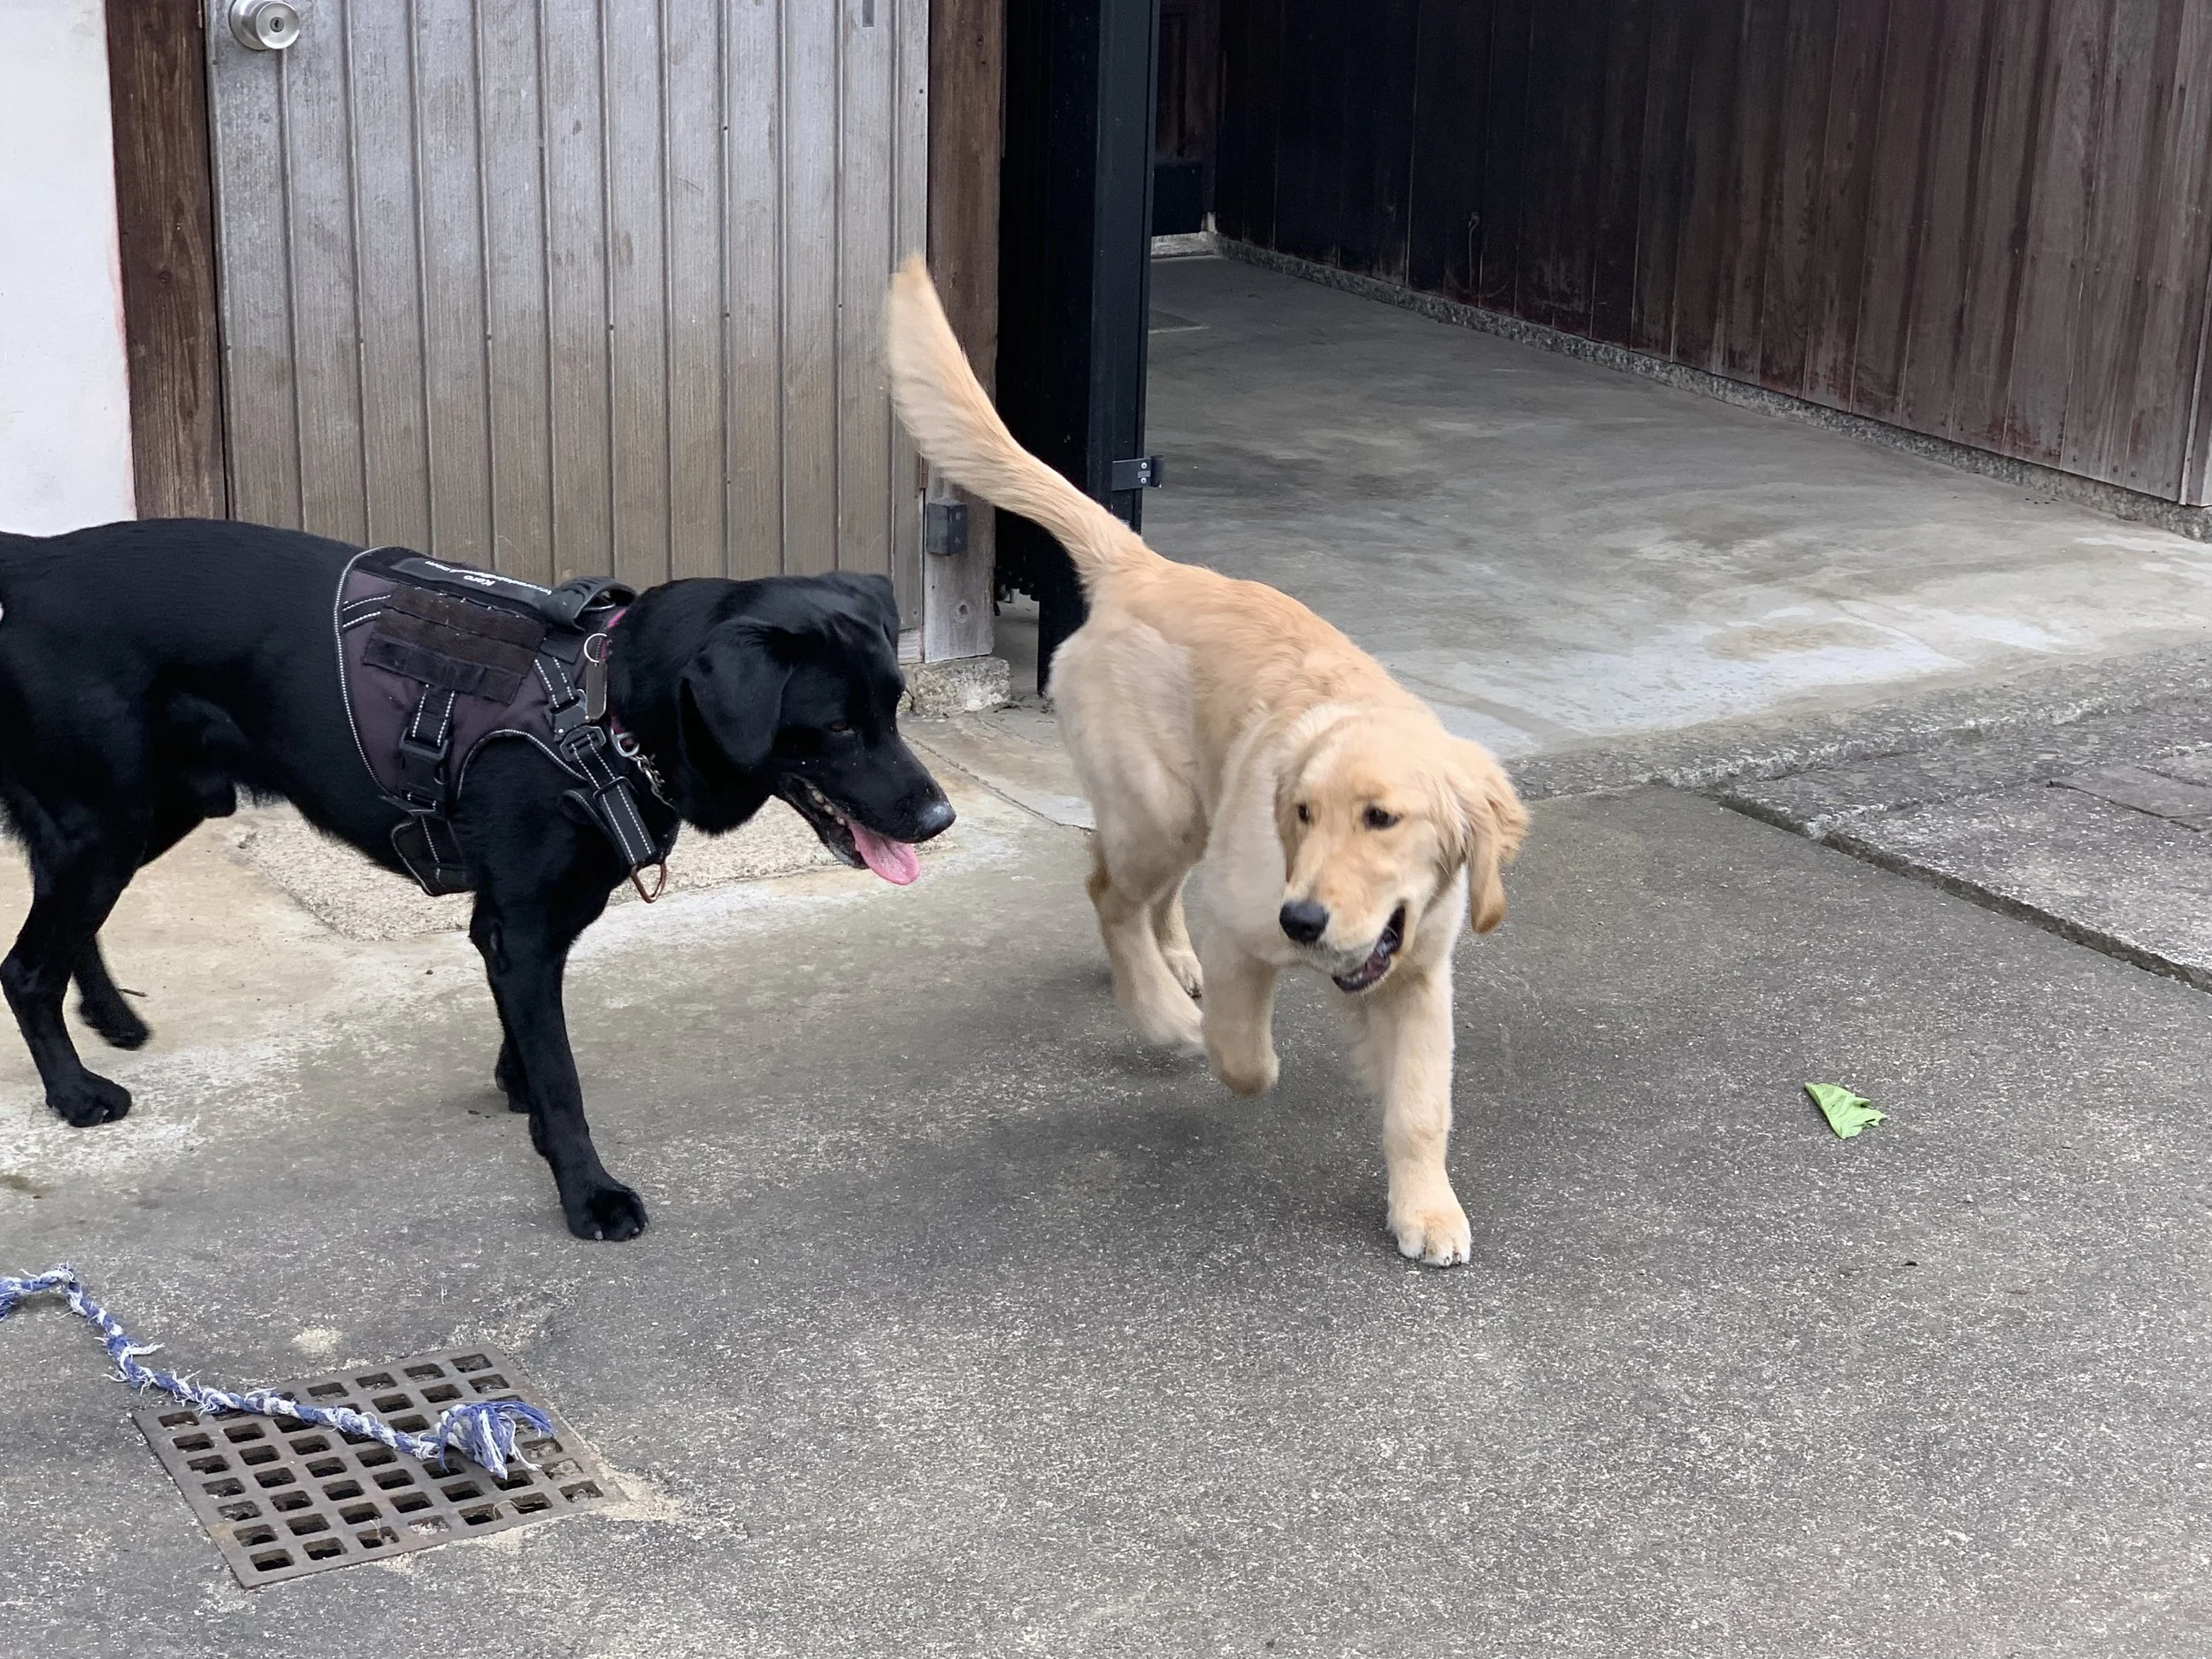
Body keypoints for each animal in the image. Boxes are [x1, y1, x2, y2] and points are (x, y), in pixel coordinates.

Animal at [0, 519, 953, 1239]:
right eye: (835, 726)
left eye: (894, 707)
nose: (940, 818)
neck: (609, 707)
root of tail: (39, 556)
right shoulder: (524, 924)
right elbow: (562, 1076)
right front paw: (588, 1191)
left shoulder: (525, 921)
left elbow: (525, 1035)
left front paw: (517, 1089)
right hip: (113, 819)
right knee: (25, 965)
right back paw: (76, 1094)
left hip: (149, 811)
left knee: (64, 920)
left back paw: (113, 1016)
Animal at [886, 259, 1526, 1266]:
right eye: (1302, 814)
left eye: (1383, 818)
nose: (1303, 920)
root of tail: (1143, 562)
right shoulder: (1247, 922)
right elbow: (1244, 1051)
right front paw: (1212, 1042)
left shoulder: (1422, 973)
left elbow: (1421, 1105)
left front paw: (1427, 1210)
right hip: (1163, 807)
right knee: (1110, 892)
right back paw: (1158, 1010)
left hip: (1188, 806)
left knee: (1129, 883)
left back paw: (1169, 963)